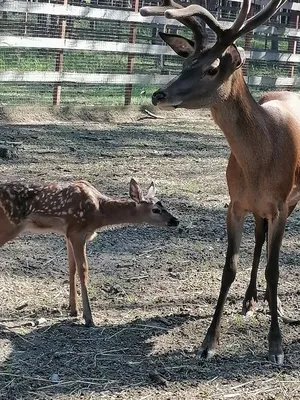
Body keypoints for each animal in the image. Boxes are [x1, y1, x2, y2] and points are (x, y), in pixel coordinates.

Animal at [0, 180, 178, 326]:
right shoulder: (77, 231)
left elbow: (71, 268)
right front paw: (88, 318)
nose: (175, 220)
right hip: (9, 225)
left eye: (163, 205)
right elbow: (83, 270)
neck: (99, 212)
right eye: (156, 210)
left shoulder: (68, 233)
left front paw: (73, 309)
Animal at [141, 0, 300, 364]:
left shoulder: (280, 205)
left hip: (291, 200)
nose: (159, 94)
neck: (258, 165)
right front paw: (208, 342)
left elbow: (274, 270)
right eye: (186, 62)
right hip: (259, 209)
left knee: (270, 250)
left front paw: (276, 345)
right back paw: (250, 299)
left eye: (212, 68)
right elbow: (229, 267)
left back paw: (274, 305)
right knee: (260, 239)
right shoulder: (235, 204)